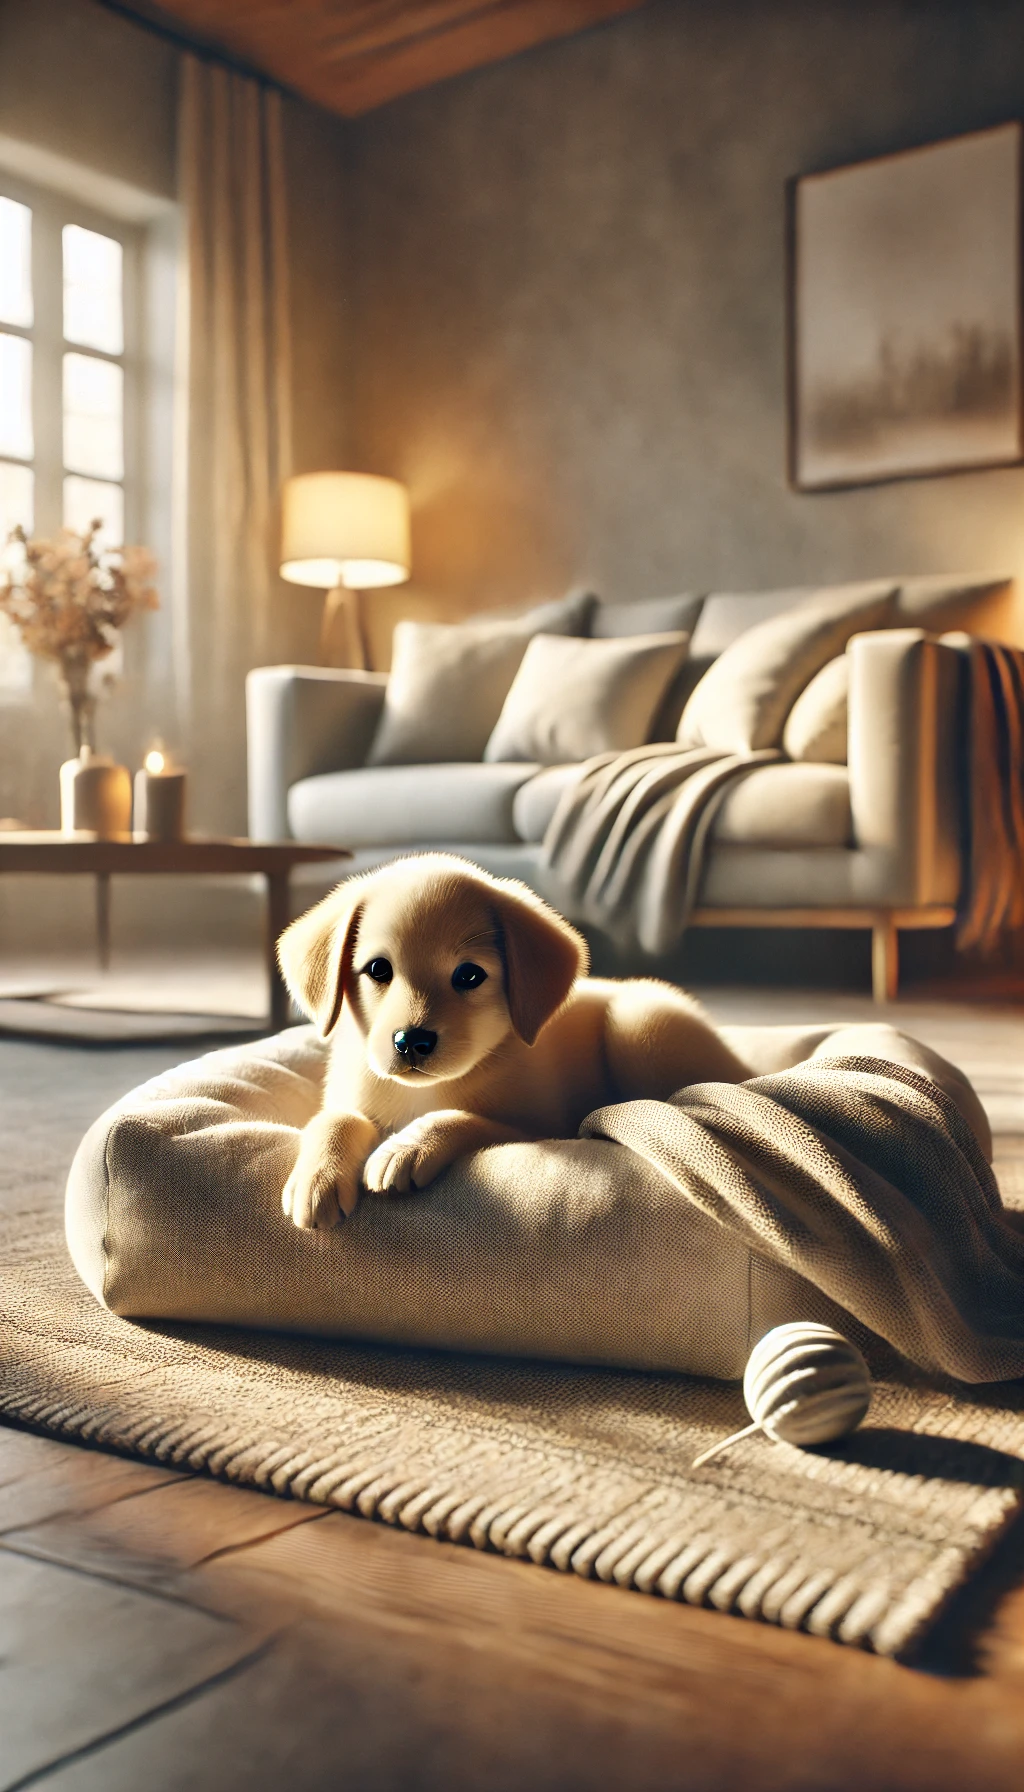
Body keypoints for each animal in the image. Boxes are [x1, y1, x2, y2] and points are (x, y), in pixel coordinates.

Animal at [276, 856, 749, 1232]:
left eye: (469, 975)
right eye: (378, 969)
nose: (411, 1041)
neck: (422, 1093)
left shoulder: (537, 1129)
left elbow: (462, 1118)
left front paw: (406, 1147)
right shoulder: (349, 1093)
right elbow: (334, 1119)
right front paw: (318, 1177)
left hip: (638, 1024)